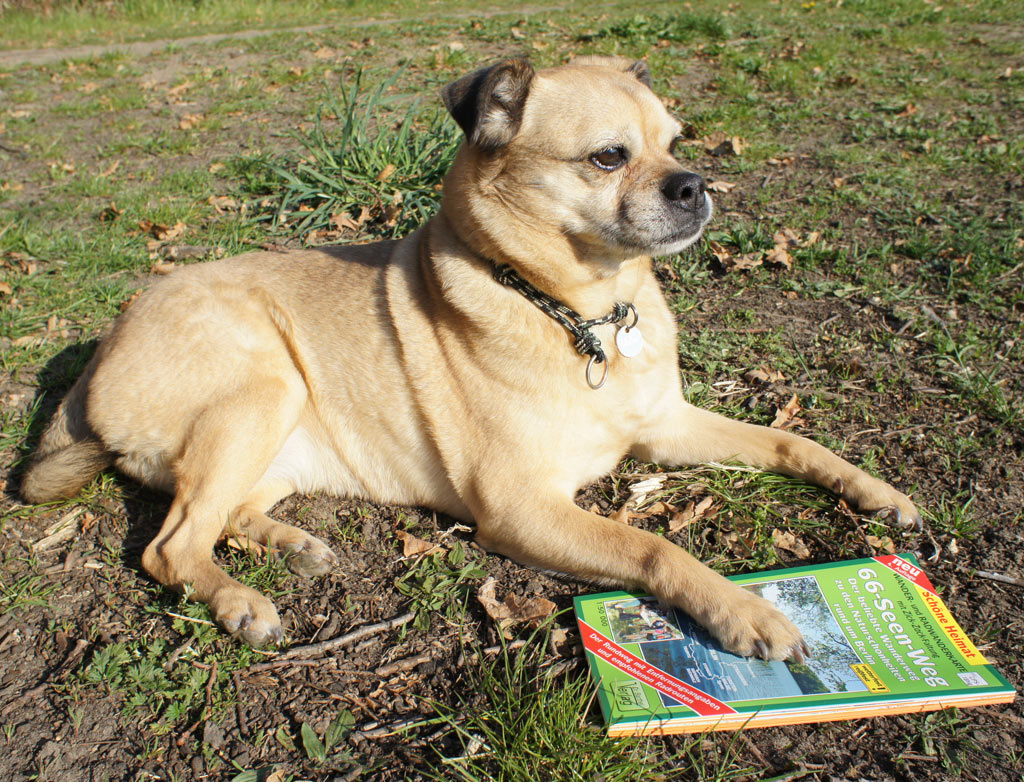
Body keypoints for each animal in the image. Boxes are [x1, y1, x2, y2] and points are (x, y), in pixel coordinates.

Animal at [18, 58, 921, 659]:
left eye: (675, 143)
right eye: (608, 157)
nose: (698, 185)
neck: (583, 313)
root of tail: (96, 366)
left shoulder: (665, 428)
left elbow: (791, 441)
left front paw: (874, 492)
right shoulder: (524, 508)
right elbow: (653, 548)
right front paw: (744, 613)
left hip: (273, 440)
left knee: (220, 516)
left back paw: (289, 543)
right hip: (262, 387)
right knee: (169, 546)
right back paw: (242, 602)